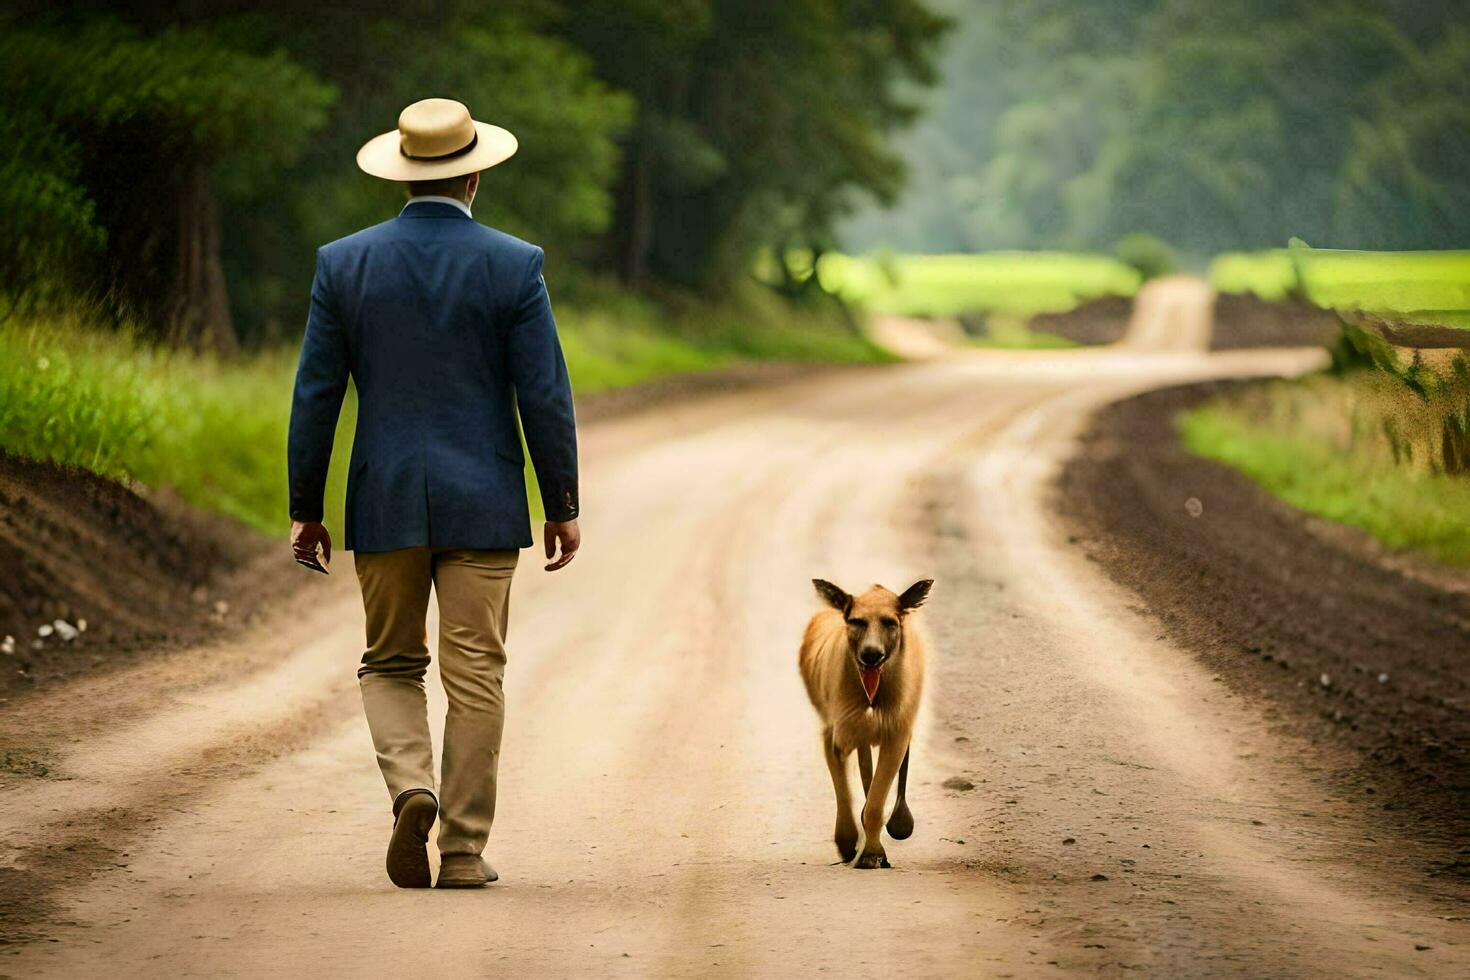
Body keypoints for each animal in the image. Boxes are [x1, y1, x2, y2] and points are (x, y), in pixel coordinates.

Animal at [799, 578, 934, 869]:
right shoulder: (836, 734)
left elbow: (875, 801)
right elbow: (845, 792)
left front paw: (872, 853)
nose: (871, 654)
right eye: (856, 622)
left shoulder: (897, 735)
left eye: (890, 622)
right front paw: (848, 843)